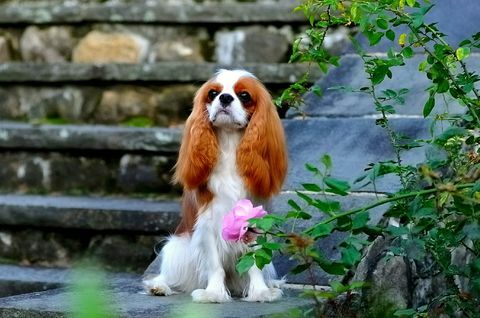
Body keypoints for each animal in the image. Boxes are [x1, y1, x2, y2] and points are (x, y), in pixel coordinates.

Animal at [141, 69, 286, 304]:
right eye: (213, 93)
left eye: (244, 95)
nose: (225, 98)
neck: (229, 143)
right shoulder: (208, 223)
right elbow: (214, 264)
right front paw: (214, 293)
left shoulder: (254, 220)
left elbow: (255, 263)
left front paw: (261, 292)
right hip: (177, 249)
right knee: (169, 276)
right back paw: (159, 287)